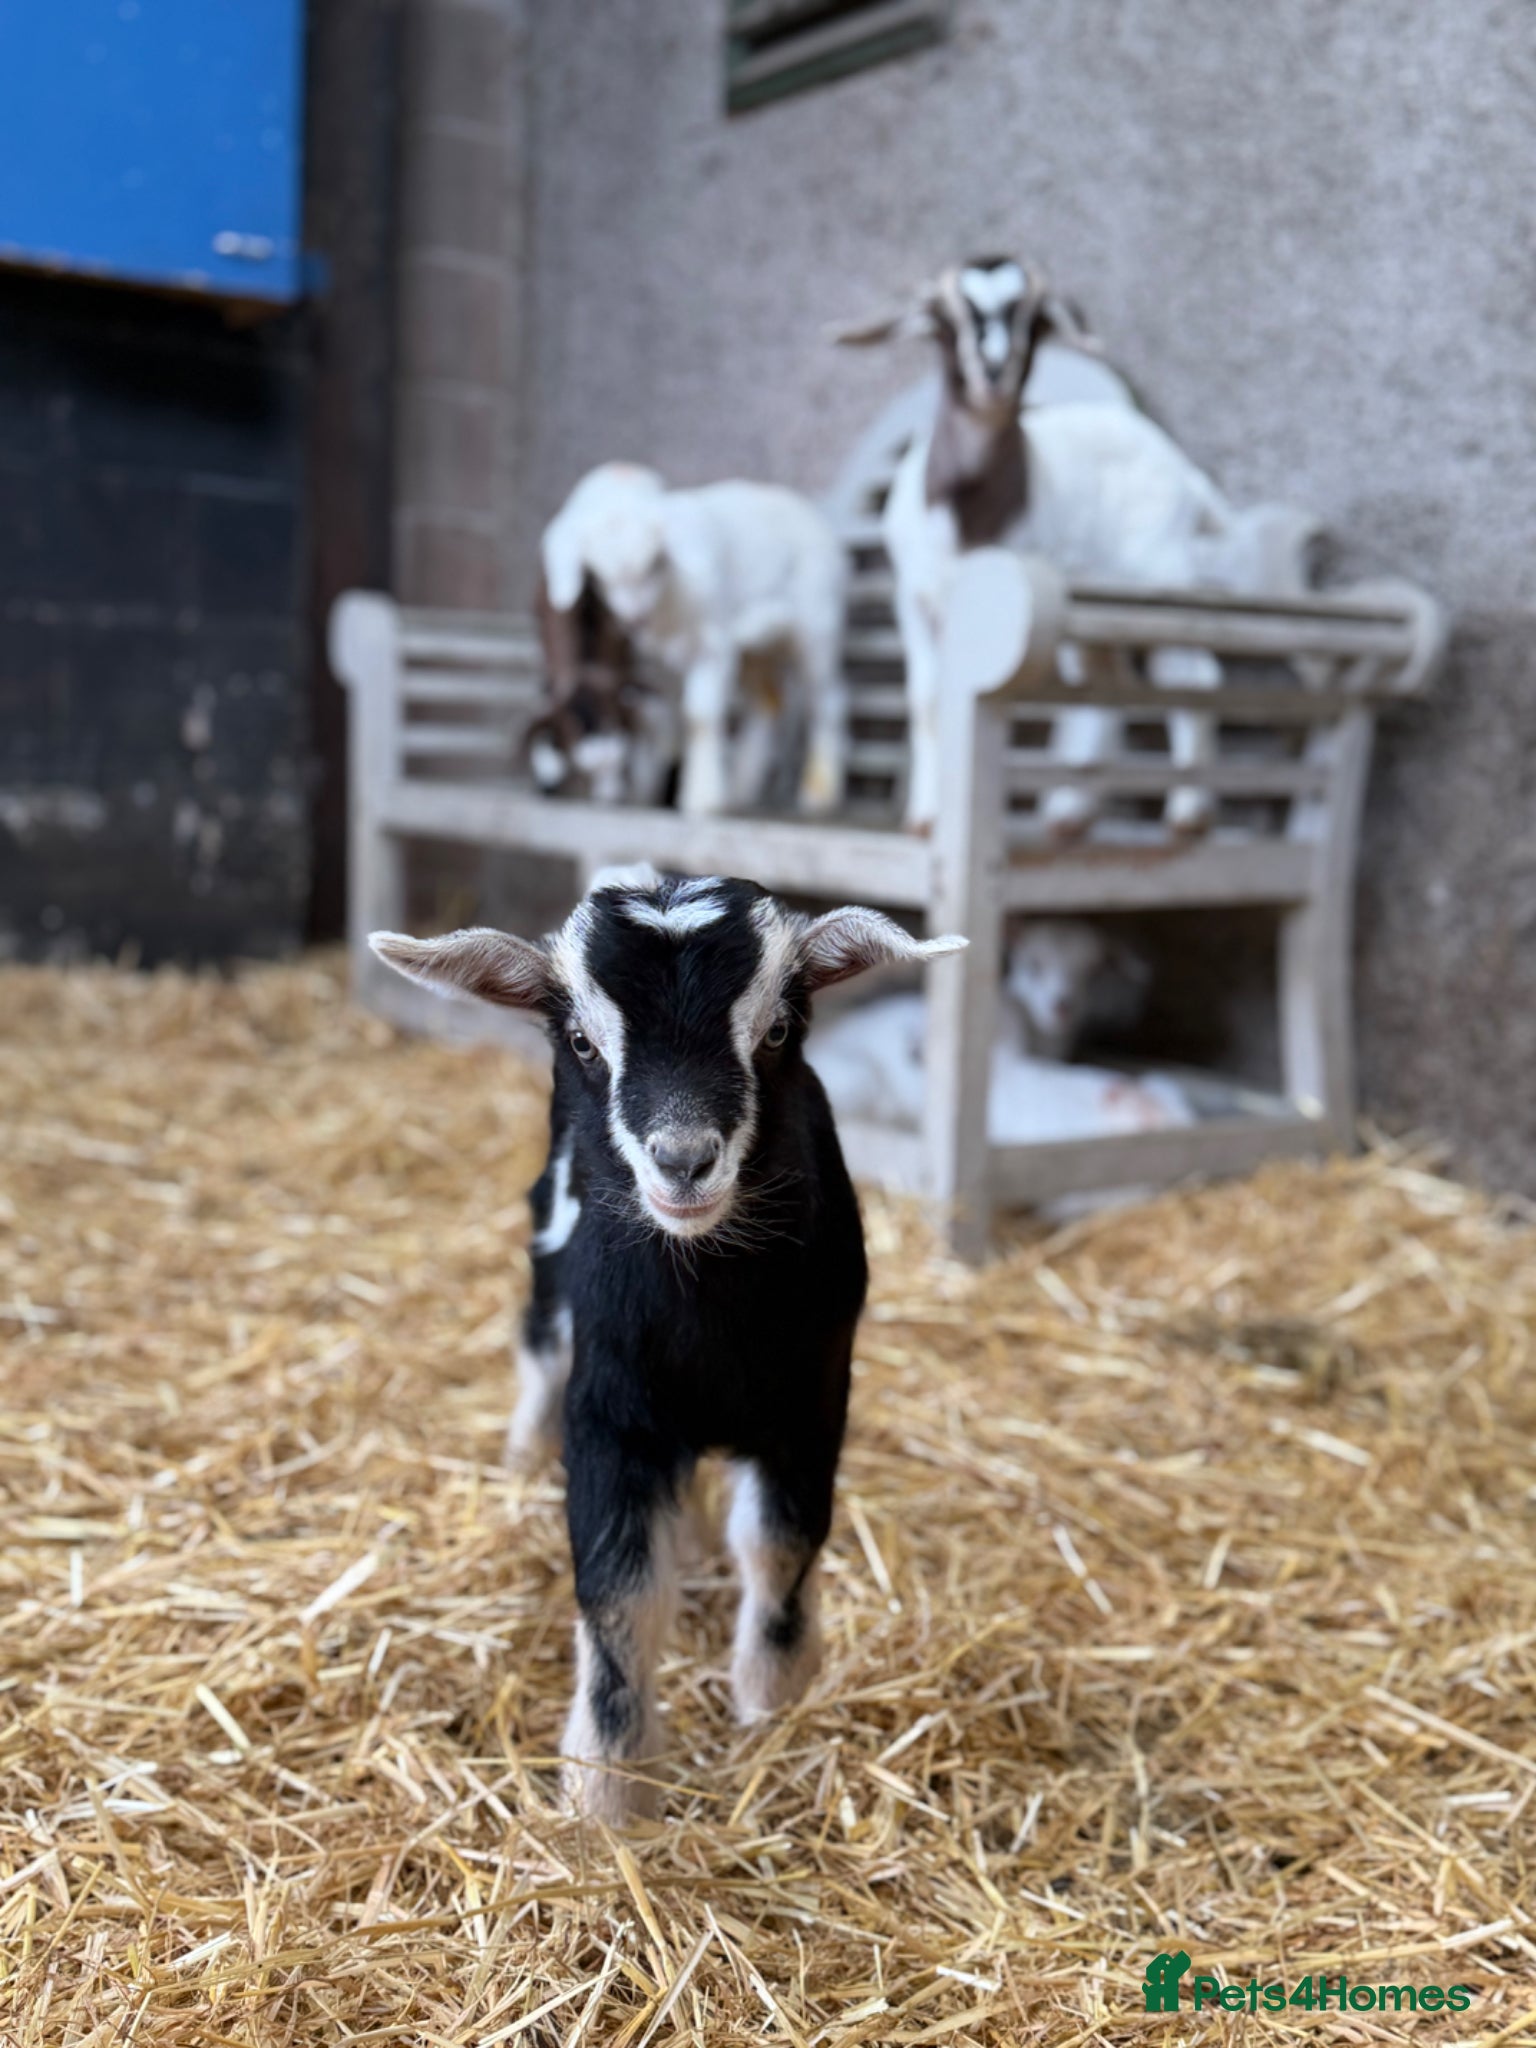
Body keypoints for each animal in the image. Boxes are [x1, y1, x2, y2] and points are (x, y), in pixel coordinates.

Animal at [370, 868, 965, 1824]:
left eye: (778, 1030)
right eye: (582, 1040)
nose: (683, 1161)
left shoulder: (812, 1402)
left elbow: (780, 1547)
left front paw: (771, 1702)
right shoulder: (613, 1415)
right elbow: (620, 1588)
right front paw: (607, 1790)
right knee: (538, 1352)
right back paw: (520, 1460)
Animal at [573, 478, 848, 819]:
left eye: (654, 564)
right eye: (599, 575)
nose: (634, 619)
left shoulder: (713, 647)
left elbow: (699, 716)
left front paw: (702, 799)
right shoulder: (659, 667)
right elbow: (662, 721)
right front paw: (645, 792)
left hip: (817, 629)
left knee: (826, 702)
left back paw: (819, 792)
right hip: (753, 649)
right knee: (768, 702)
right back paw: (742, 788)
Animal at [838, 257, 1283, 836]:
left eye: (1032, 321)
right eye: (948, 319)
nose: (994, 370)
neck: (968, 516)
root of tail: (1184, 471)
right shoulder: (913, 598)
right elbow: (928, 701)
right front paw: (927, 817)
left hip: (1161, 579)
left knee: (1189, 674)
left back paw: (1189, 812)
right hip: (1099, 609)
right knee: (1104, 682)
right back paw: (1072, 812)